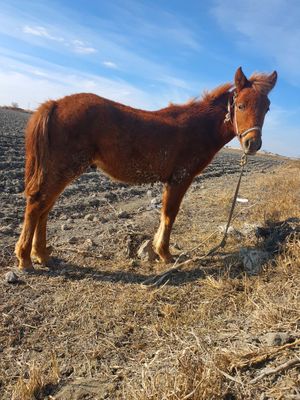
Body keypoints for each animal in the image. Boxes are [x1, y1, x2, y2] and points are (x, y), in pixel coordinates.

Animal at [14, 68, 276, 272]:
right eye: (241, 105)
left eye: (267, 107)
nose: (253, 144)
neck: (198, 127)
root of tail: (55, 104)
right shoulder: (180, 178)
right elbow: (170, 214)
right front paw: (165, 253)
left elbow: (165, 215)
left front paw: (159, 250)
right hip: (63, 169)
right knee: (37, 205)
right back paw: (25, 258)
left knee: (45, 208)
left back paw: (42, 255)